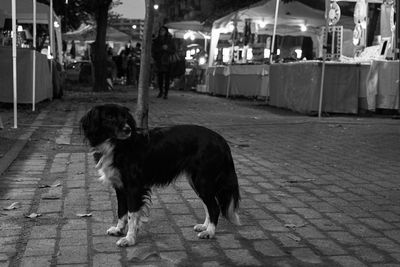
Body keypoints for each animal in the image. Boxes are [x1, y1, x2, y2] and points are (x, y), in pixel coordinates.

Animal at [79, 104, 239, 247]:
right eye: (110, 117)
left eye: (125, 117)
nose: (127, 129)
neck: (117, 145)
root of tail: (220, 139)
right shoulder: (120, 187)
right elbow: (121, 211)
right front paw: (118, 229)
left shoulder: (134, 187)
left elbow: (132, 215)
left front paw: (129, 239)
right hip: (196, 181)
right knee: (208, 205)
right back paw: (204, 226)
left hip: (202, 180)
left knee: (214, 207)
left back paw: (210, 232)